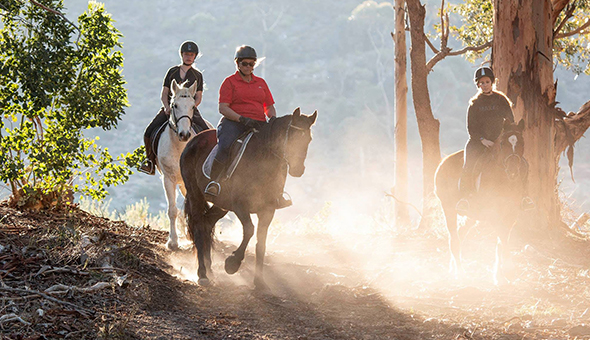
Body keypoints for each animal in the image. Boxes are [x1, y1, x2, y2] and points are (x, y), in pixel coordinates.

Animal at [157, 79, 213, 250]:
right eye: (174, 105)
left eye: (193, 106)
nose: (184, 134)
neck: (179, 146)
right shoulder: (168, 179)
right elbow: (172, 210)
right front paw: (173, 242)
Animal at [180, 107, 320, 288]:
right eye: (292, 137)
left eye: (308, 139)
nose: (298, 170)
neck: (263, 159)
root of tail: (194, 140)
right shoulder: (241, 206)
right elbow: (249, 230)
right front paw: (232, 263)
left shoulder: (268, 209)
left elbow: (261, 242)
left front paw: (259, 281)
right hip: (195, 194)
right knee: (198, 225)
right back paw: (202, 274)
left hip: (222, 205)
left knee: (206, 224)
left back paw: (210, 270)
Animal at [438, 119, 528, 284]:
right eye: (503, 143)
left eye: (522, 143)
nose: (513, 170)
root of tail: (443, 162)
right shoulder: (493, 214)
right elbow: (502, 238)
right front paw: (507, 272)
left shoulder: (511, 214)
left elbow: (502, 240)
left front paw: (500, 276)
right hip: (448, 209)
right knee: (454, 238)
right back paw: (460, 273)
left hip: (472, 216)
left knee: (460, 234)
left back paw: (453, 268)